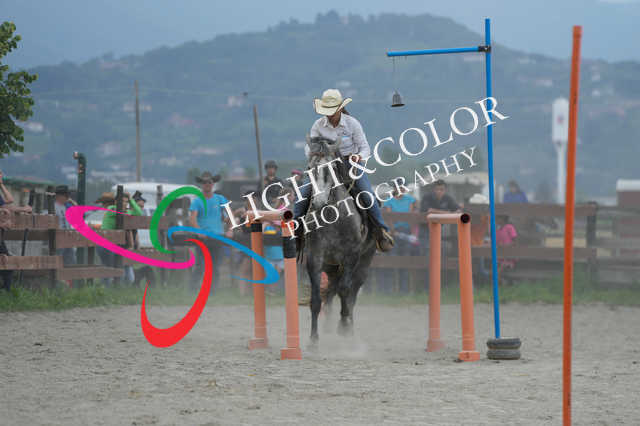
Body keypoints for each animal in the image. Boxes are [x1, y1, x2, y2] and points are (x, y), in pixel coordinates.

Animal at [300, 136, 377, 343]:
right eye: (309, 168)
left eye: (331, 168)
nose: (318, 202)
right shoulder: (315, 257)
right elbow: (316, 299)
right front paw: (313, 339)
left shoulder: (351, 256)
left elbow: (345, 290)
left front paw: (344, 327)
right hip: (331, 265)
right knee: (331, 290)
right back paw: (328, 326)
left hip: (364, 261)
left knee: (352, 292)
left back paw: (349, 324)